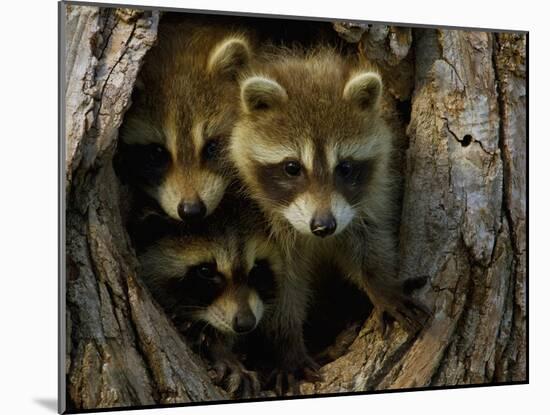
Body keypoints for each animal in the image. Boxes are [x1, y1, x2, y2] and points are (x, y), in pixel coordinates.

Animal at [231, 48, 434, 394]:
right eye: (292, 167)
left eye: (345, 167)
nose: (324, 226)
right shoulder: (265, 228)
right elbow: (280, 285)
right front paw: (286, 344)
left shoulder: (370, 194)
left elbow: (368, 239)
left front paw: (381, 284)